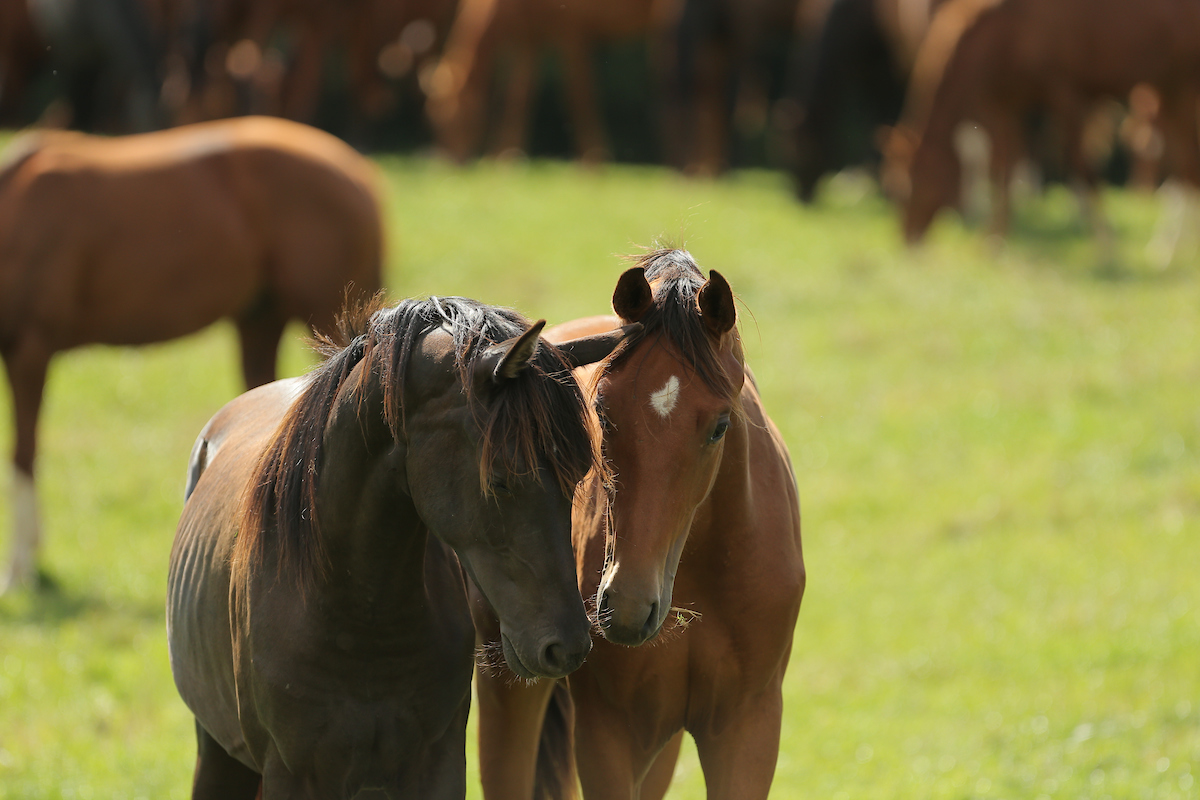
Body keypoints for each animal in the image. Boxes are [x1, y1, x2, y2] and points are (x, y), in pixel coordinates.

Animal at [170, 297, 638, 796]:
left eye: (579, 475)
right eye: (500, 478)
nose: (568, 646)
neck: (359, 616)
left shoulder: (436, 768)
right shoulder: (292, 775)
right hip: (218, 756)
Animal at [883, 0, 1200, 242]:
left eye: (913, 187)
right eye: (895, 190)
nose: (908, 240)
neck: (1006, 26)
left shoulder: (1066, 94)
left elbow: (1081, 166)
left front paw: (1106, 247)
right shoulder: (1005, 102)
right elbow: (1003, 169)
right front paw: (994, 242)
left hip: (1183, 85)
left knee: (1186, 166)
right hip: (1169, 87)